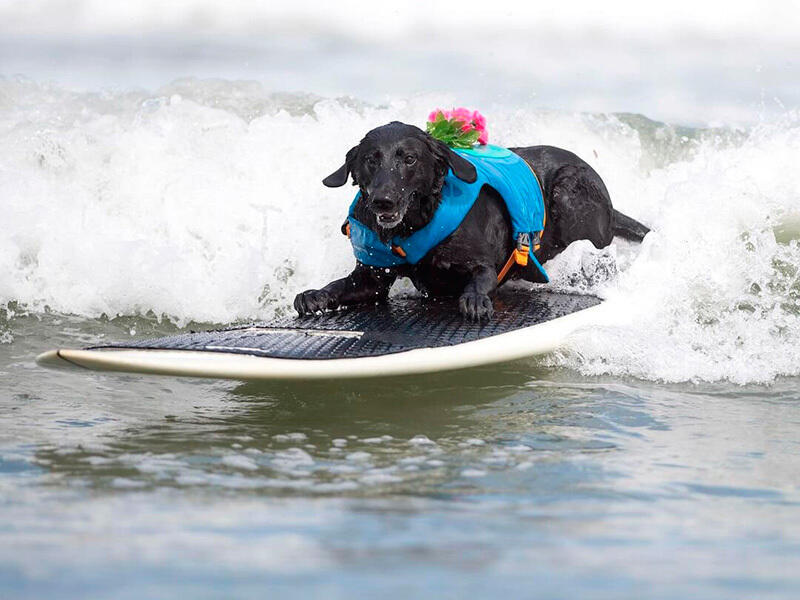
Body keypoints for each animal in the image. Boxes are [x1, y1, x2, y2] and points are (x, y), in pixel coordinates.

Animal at [296, 120, 648, 318]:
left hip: (570, 187)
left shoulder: (484, 264)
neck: (415, 226)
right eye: (371, 160)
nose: (383, 200)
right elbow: (343, 285)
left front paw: (474, 299)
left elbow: (480, 279)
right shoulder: (373, 279)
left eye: (409, 159)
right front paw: (314, 295)